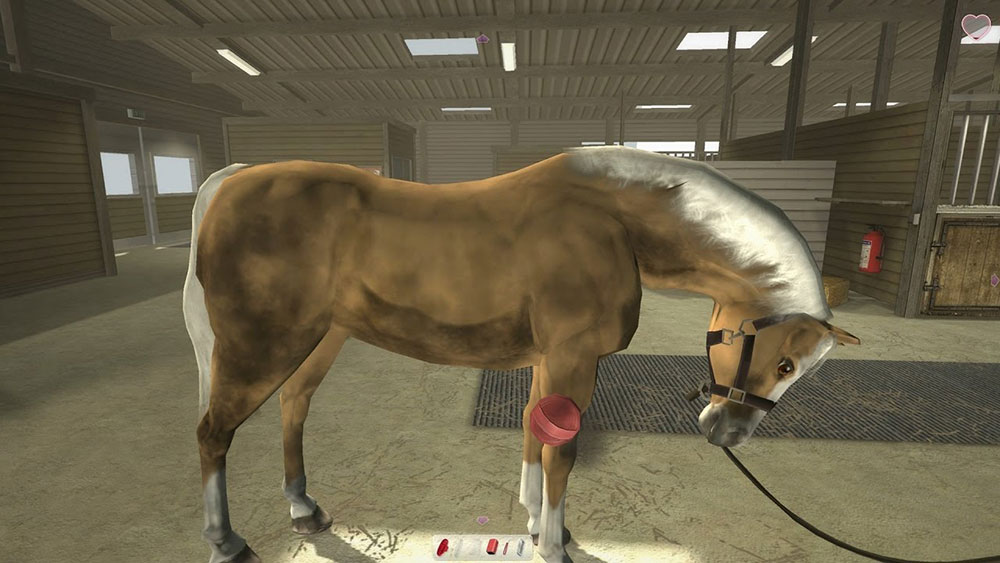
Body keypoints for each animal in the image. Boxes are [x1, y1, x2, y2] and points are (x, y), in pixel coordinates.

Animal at [182, 146, 860, 563]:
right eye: (785, 363)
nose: (731, 432)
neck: (613, 219)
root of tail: (229, 180)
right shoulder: (572, 358)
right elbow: (562, 452)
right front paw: (555, 545)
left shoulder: (547, 361)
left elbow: (536, 438)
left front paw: (536, 525)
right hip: (261, 344)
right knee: (214, 432)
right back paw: (226, 541)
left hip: (320, 339)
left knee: (293, 405)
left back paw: (305, 510)